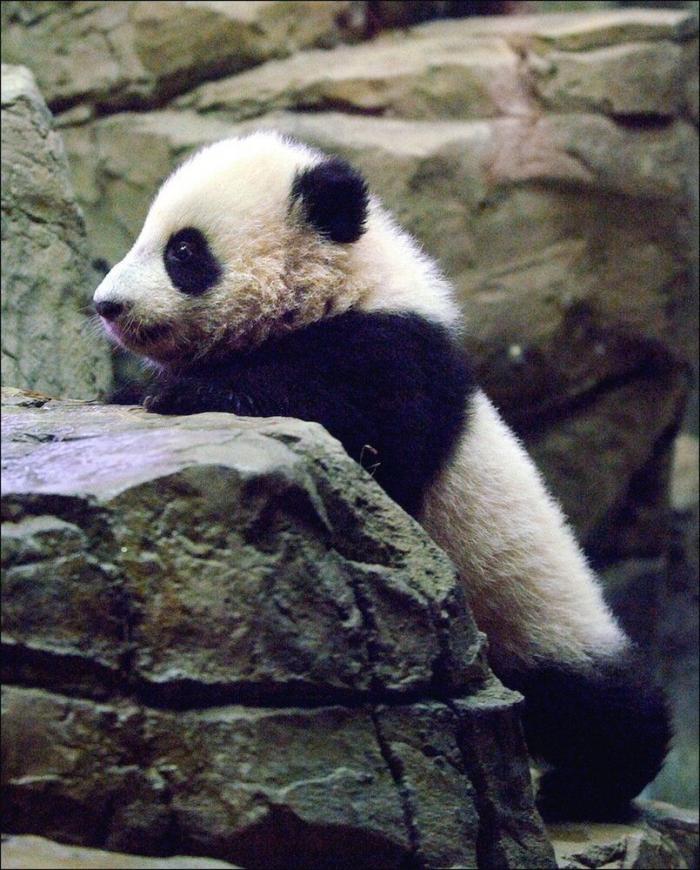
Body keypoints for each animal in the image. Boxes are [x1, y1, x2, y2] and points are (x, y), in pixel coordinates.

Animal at [93, 131, 670, 819]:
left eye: (183, 250)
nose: (106, 305)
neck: (340, 287)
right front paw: (134, 388)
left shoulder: (395, 358)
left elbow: (360, 436)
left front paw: (186, 392)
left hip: (534, 611)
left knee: (605, 704)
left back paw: (586, 785)